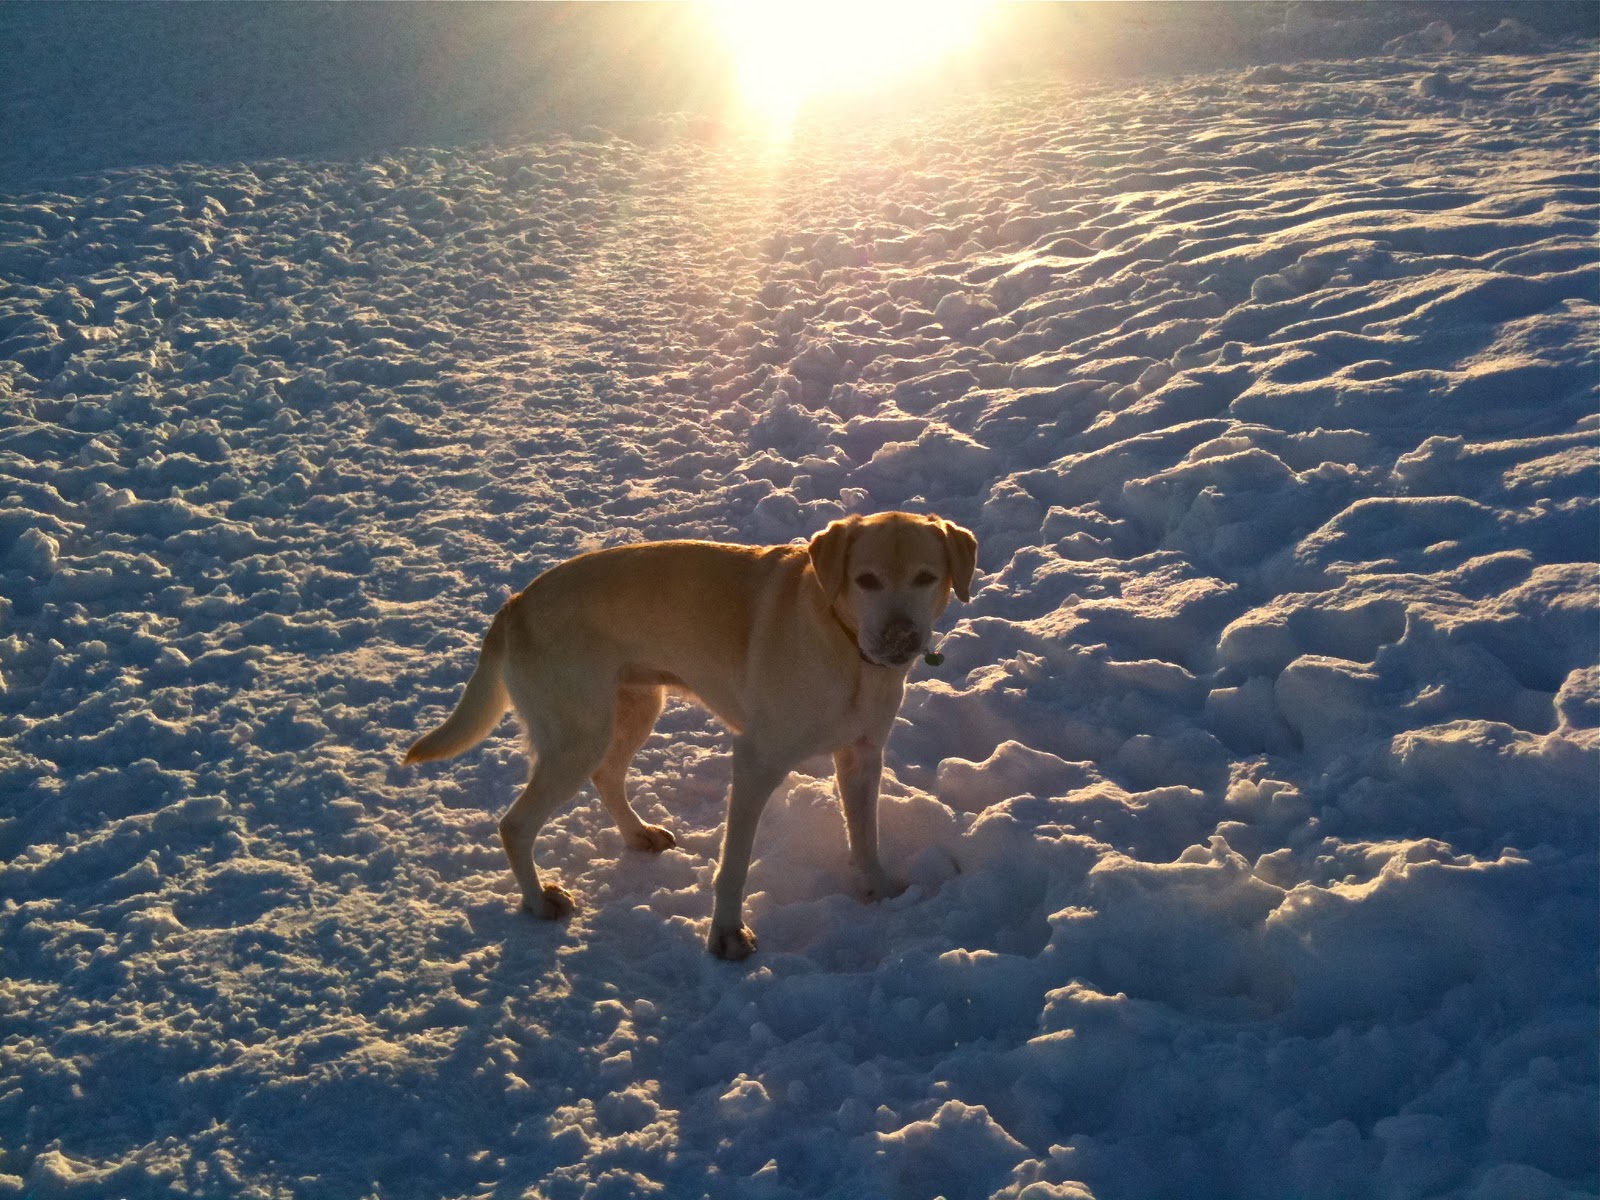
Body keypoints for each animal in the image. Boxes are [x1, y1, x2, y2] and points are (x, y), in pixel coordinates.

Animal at [404, 511, 977, 959]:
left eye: (927, 577)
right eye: (866, 580)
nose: (901, 637)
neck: (846, 646)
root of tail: (515, 603)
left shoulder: (862, 755)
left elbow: (865, 835)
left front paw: (879, 889)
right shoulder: (755, 760)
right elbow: (734, 864)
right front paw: (726, 937)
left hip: (634, 708)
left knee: (606, 776)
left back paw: (637, 834)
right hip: (577, 736)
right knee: (515, 824)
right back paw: (538, 900)